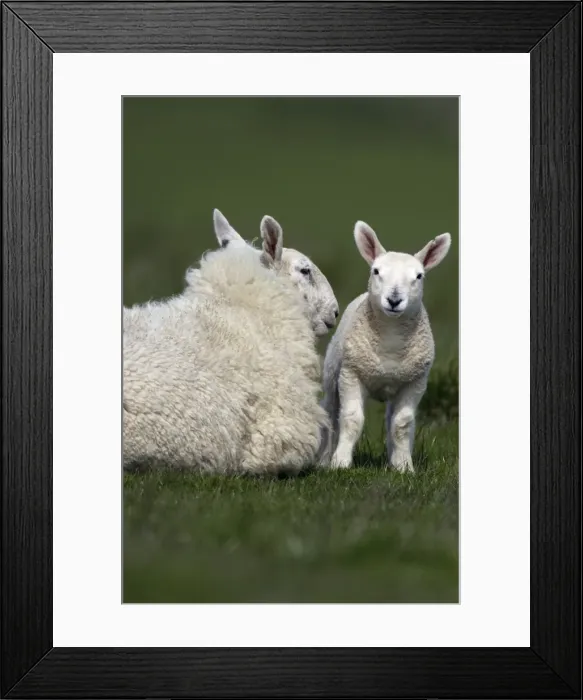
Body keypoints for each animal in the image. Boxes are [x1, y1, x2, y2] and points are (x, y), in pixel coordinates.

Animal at [319, 221, 451, 472]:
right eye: (376, 271)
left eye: (419, 276)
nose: (394, 300)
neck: (391, 341)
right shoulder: (351, 374)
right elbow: (351, 419)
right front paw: (340, 463)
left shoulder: (415, 382)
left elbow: (402, 423)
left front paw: (404, 467)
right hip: (332, 374)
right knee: (330, 412)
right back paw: (323, 457)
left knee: (393, 420)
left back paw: (396, 458)